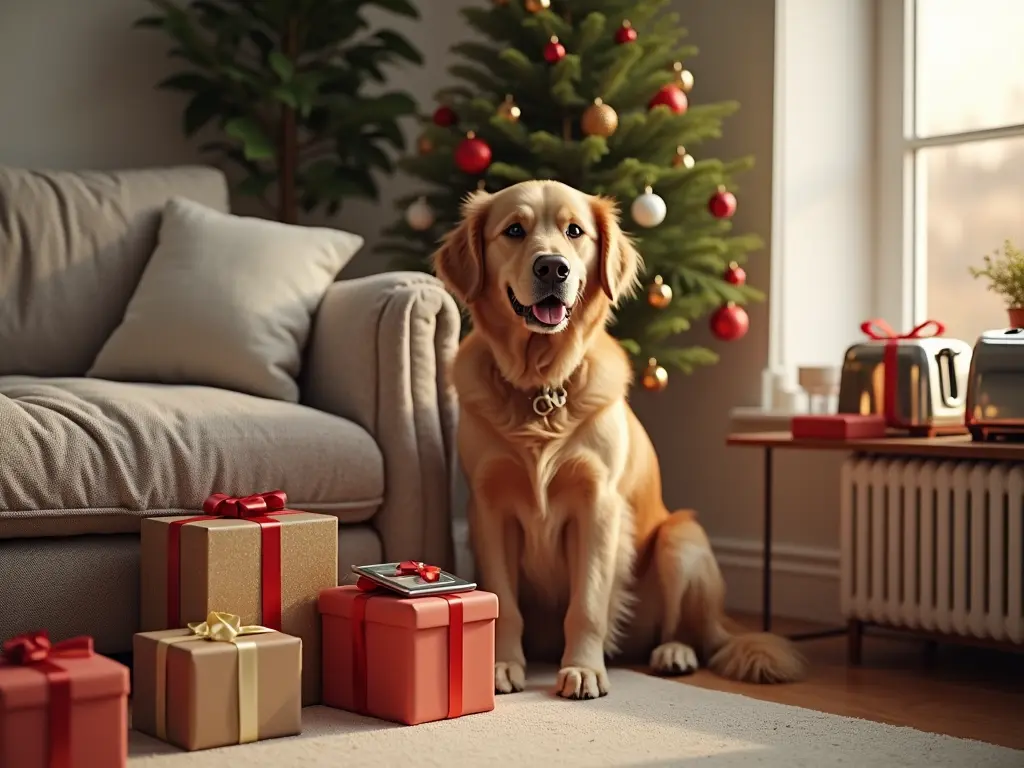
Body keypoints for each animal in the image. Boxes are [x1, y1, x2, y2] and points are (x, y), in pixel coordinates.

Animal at [432, 182, 806, 704]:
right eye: (514, 230)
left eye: (575, 231)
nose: (553, 267)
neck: (540, 387)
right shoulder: (489, 508)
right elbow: (503, 600)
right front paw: (503, 664)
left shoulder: (598, 504)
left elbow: (587, 603)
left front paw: (584, 669)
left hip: (680, 538)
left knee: (686, 632)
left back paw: (674, 652)